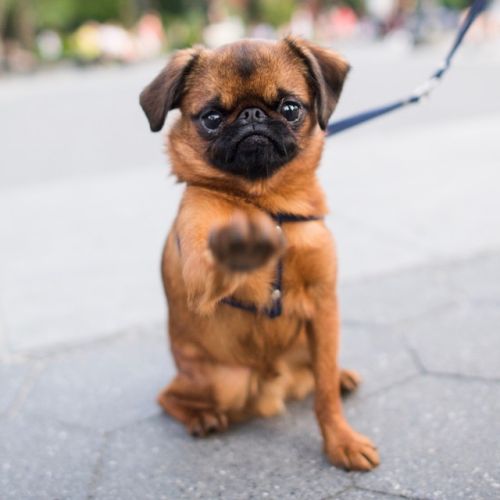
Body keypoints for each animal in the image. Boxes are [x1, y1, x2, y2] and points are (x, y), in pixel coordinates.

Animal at [140, 37, 378, 470]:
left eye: (290, 108)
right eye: (212, 118)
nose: (252, 116)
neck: (267, 202)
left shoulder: (324, 305)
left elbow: (324, 392)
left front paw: (341, 440)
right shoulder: (200, 278)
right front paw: (242, 243)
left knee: (317, 373)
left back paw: (339, 377)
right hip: (224, 381)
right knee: (168, 396)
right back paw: (201, 418)